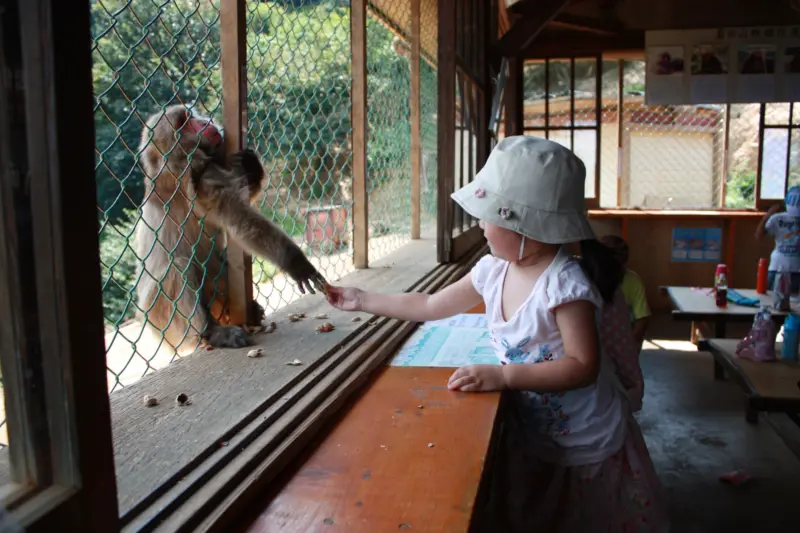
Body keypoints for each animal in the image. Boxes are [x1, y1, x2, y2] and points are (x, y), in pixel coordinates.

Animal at [134, 104, 324, 354]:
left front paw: (251, 168)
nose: (204, 122)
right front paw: (295, 262)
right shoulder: (198, 173)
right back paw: (212, 332)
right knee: (175, 267)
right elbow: (238, 217)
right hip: (159, 316)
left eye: (190, 116)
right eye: (185, 122)